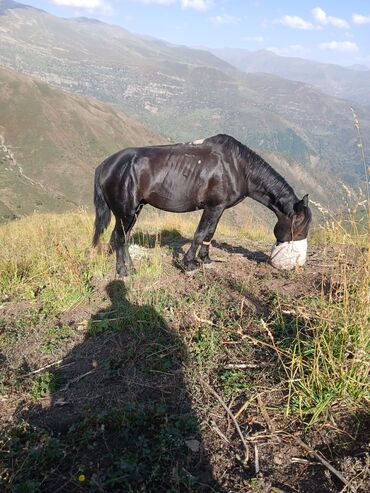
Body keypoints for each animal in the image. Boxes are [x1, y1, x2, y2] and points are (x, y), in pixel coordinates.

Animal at [92, 135, 312, 274]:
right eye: (298, 227)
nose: (300, 260)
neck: (239, 167)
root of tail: (106, 165)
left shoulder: (219, 208)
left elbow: (209, 234)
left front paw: (205, 259)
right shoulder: (212, 207)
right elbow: (199, 234)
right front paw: (188, 263)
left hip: (134, 210)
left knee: (123, 237)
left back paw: (130, 268)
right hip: (126, 212)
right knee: (119, 237)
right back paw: (123, 271)